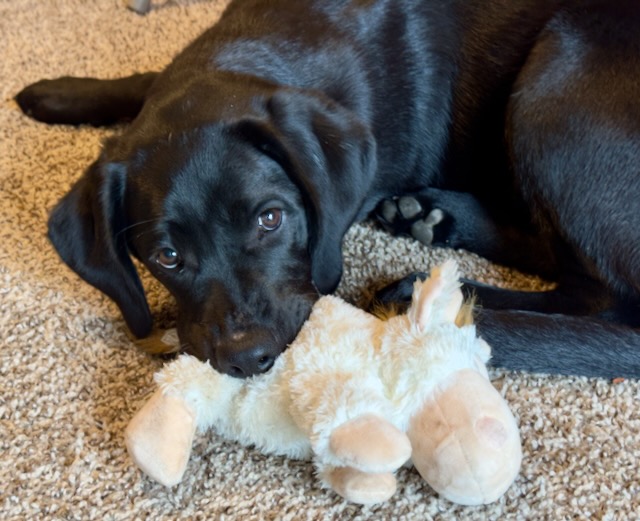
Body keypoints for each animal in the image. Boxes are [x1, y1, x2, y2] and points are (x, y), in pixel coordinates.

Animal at [16, 0, 640, 378]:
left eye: (271, 219)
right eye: (166, 256)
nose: (248, 357)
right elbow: (144, 81)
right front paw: (58, 92)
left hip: (553, 83)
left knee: (604, 297)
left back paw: (426, 290)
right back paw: (432, 216)